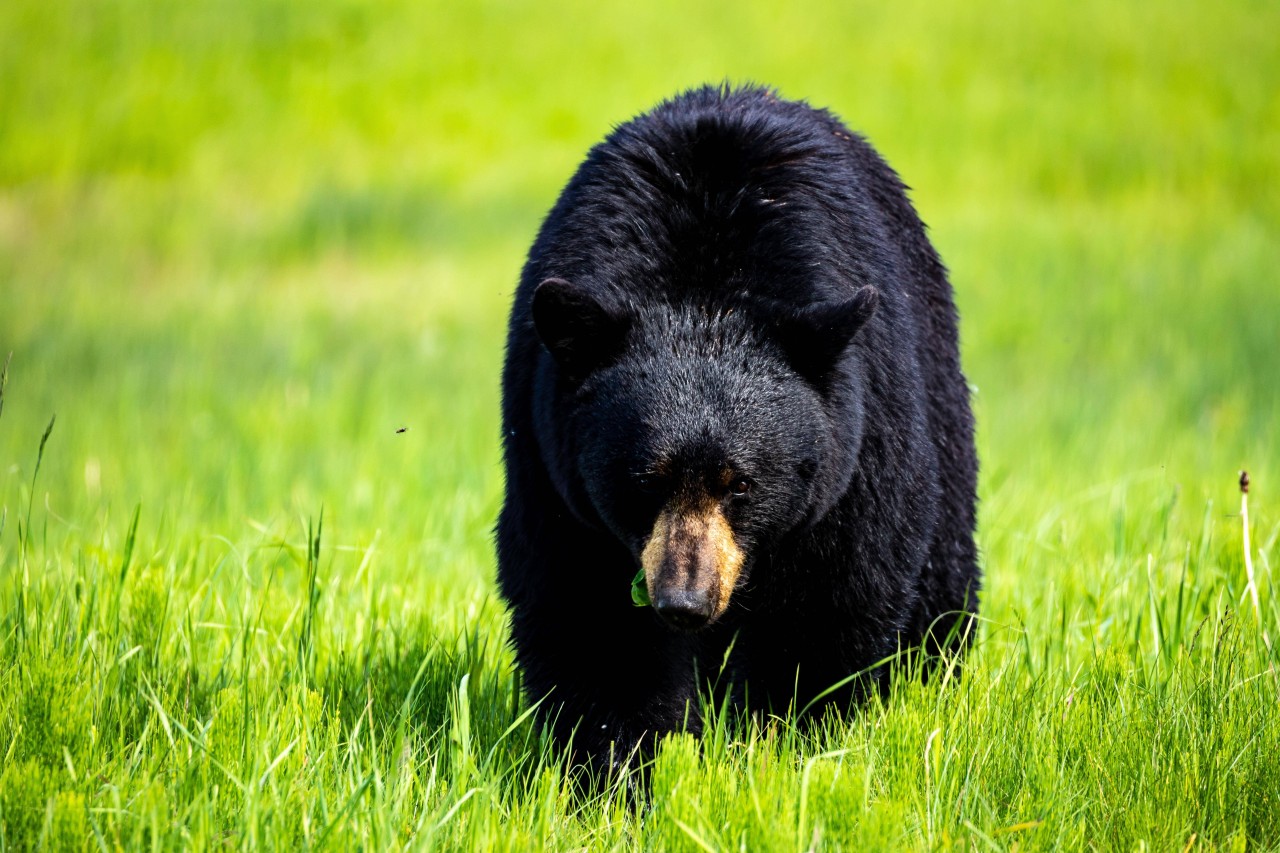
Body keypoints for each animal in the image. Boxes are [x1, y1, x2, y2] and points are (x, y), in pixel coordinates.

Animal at [494, 84, 972, 768]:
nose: (685, 602)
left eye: (741, 483)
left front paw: (780, 746)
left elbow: (829, 602)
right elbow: (588, 614)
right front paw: (619, 766)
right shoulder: (551, 467)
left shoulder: (852, 459)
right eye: (645, 480)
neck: (704, 293)